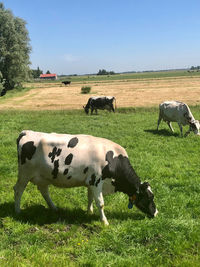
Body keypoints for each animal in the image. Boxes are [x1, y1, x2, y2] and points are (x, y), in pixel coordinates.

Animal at [14, 131, 158, 225]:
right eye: (149, 197)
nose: (156, 213)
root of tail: (25, 132)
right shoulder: (96, 181)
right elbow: (100, 202)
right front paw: (104, 222)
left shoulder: (90, 182)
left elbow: (90, 198)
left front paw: (89, 212)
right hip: (24, 174)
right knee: (18, 190)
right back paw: (18, 211)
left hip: (44, 176)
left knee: (44, 191)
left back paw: (54, 208)